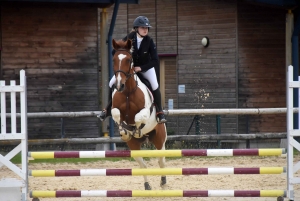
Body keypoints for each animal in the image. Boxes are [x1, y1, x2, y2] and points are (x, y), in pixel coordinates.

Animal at [110, 38, 168, 191]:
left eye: (129, 59)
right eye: (113, 59)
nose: (119, 85)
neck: (128, 92)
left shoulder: (145, 112)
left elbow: (138, 117)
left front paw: (135, 129)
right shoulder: (115, 109)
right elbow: (116, 114)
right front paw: (124, 131)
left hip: (160, 139)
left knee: (161, 161)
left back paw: (163, 181)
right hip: (134, 146)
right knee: (143, 165)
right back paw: (147, 185)